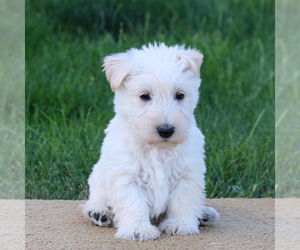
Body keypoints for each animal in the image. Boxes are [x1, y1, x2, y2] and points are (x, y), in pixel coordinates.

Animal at [81, 42, 218, 240]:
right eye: (145, 96)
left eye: (180, 95)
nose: (166, 130)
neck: (157, 149)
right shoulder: (127, 177)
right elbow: (134, 203)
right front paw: (138, 230)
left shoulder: (187, 174)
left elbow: (182, 201)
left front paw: (180, 224)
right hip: (97, 179)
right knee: (94, 200)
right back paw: (99, 213)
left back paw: (204, 214)